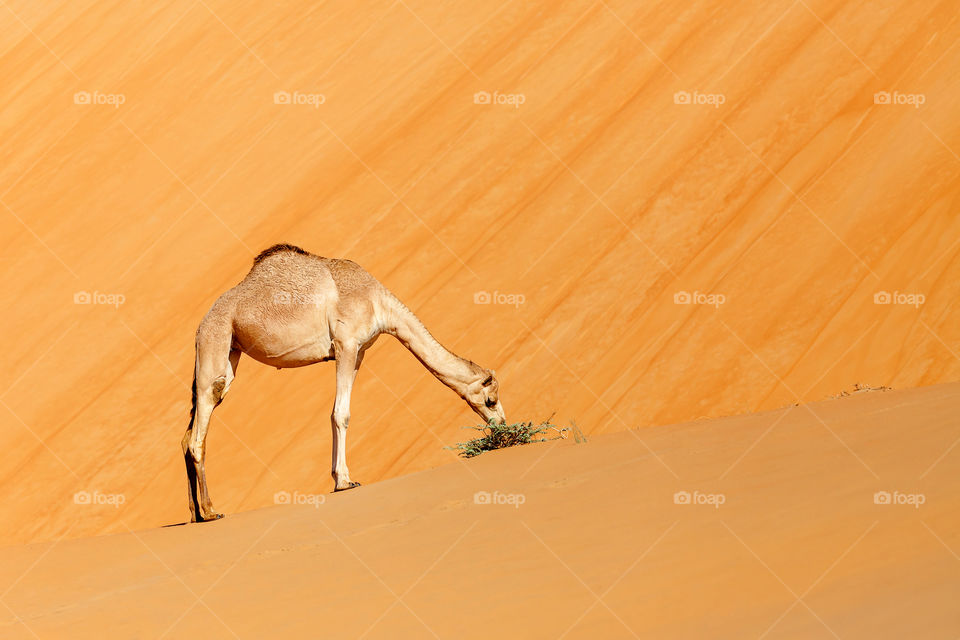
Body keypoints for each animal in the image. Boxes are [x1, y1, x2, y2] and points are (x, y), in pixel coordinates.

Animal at [181, 244, 506, 522]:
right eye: (490, 399)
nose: (502, 427)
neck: (377, 302)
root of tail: (200, 324)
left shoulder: (359, 351)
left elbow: (337, 412)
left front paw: (338, 478)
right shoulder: (345, 344)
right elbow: (342, 414)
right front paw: (346, 481)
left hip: (230, 351)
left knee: (190, 432)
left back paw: (195, 514)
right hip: (215, 338)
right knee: (201, 427)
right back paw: (211, 511)